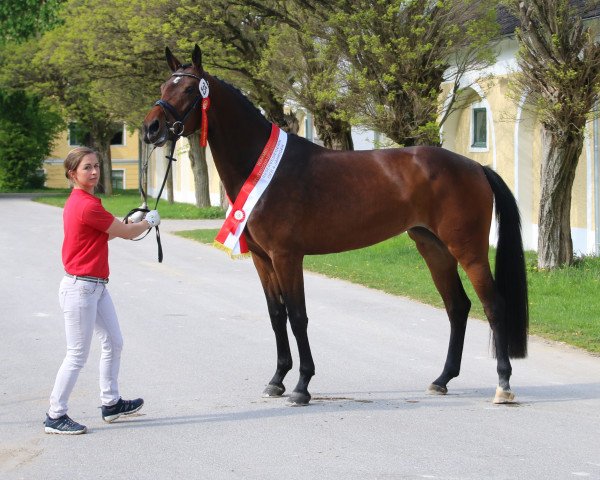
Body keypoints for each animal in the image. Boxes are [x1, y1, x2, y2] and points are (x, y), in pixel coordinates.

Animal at [143, 45, 528, 404]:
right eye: (163, 85)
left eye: (188, 90)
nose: (151, 128)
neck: (265, 167)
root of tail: (475, 167)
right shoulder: (262, 259)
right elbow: (276, 314)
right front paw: (277, 380)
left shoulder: (287, 256)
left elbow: (298, 316)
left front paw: (301, 386)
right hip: (433, 247)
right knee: (457, 307)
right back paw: (442, 379)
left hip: (468, 249)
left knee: (494, 306)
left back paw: (504, 385)